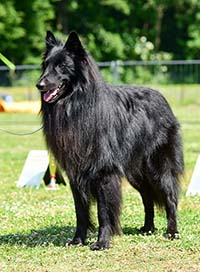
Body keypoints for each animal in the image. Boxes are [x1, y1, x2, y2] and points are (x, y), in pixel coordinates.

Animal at [36, 30, 184, 250]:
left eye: (62, 66)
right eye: (45, 65)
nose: (39, 85)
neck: (76, 105)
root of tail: (162, 99)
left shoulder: (104, 173)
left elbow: (103, 212)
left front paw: (102, 242)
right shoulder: (75, 174)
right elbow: (81, 212)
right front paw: (77, 240)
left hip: (158, 168)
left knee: (170, 197)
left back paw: (172, 232)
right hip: (137, 174)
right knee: (147, 198)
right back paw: (148, 228)